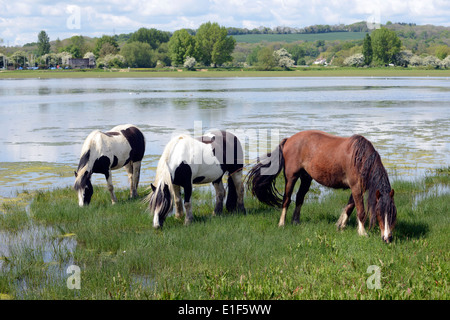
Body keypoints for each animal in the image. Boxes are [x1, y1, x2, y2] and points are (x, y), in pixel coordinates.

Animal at [246, 130, 398, 242]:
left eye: (393, 213)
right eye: (379, 212)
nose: (387, 238)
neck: (361, 160)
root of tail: (288, 140)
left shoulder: (357, 189)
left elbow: (349, 207)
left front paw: (341, 225)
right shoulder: (356, 187)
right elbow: (360, 211)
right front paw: (362, 233)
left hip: (306, 178)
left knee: (299, 197)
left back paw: (296, 221)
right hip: (291, 177)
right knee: (287, 199)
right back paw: (281, 224)